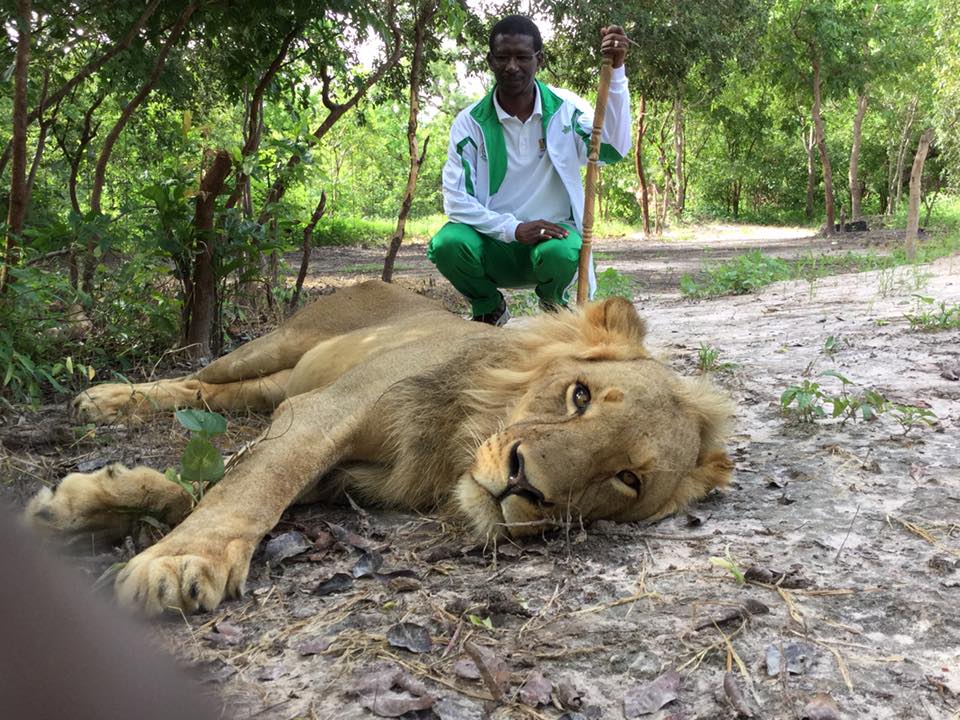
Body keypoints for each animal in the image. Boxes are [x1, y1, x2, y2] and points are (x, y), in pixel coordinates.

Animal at [28, 280, 736, 612]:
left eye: (627, 479)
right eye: (579, 396)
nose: (522, 483)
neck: (450, 446)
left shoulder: (331, 458)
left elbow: (215, 483)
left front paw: (91, 504)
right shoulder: (322, 413)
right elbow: (249, 488)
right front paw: (178, 559)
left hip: (278, 382)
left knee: (218, 398)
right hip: (275, 345)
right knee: (200, 375)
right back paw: (105, 399)